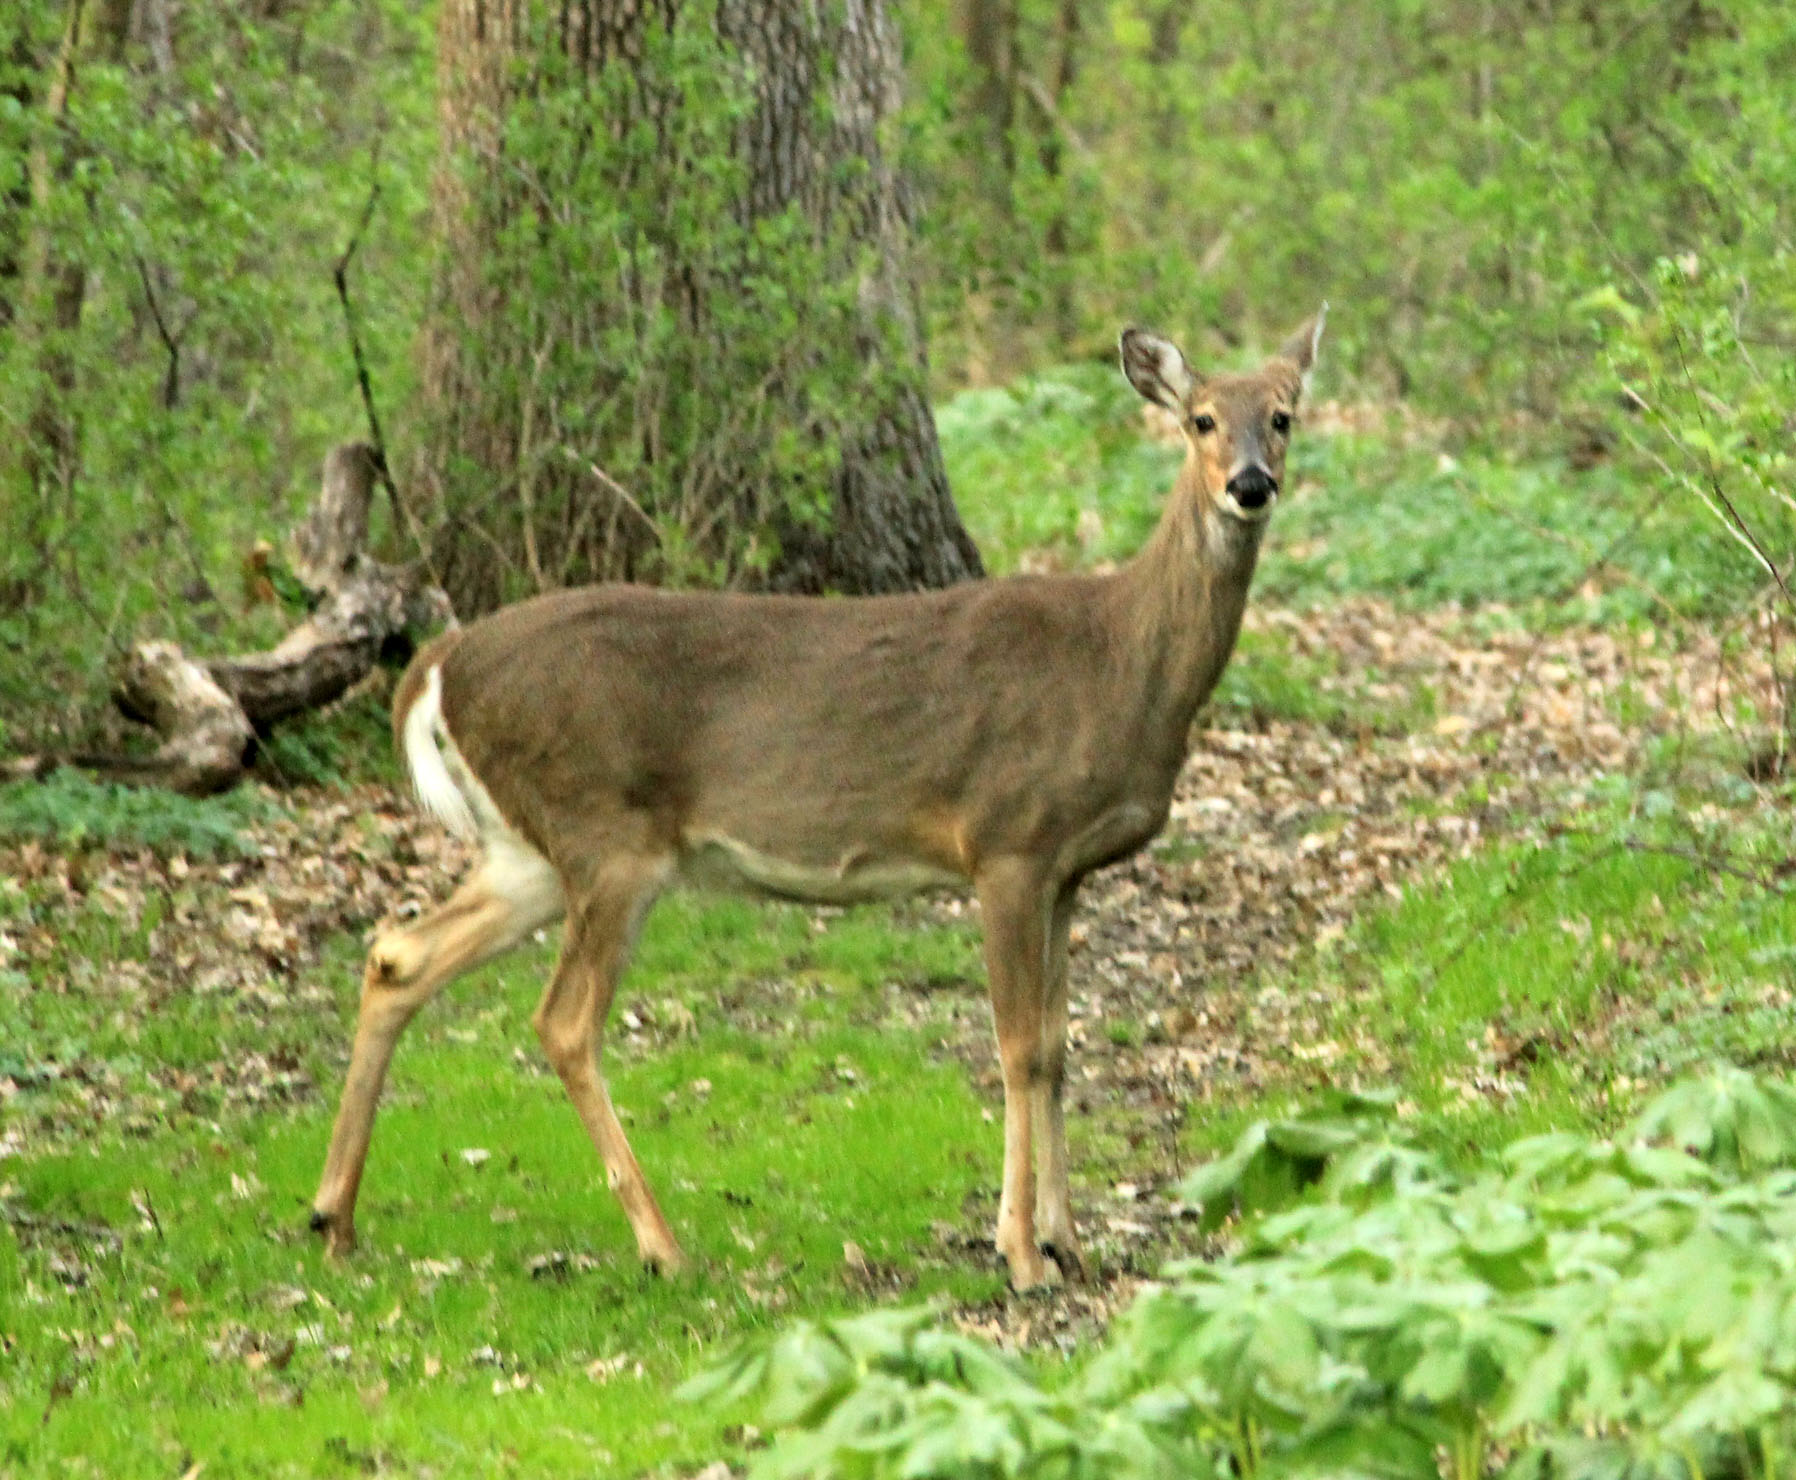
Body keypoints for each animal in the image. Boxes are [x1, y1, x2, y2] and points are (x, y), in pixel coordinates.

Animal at [308, 307, 1321, 1286]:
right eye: (1199, 419)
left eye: (1281, 415)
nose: (1250, 484)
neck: (1119, 663)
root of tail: (443, 662)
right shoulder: (1006, 841)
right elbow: (1017, 1048)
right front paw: (1023, 1256)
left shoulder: (1069, 870)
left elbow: (1061, 1051)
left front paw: (1070, 1241)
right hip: (606, 833)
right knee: (562, 1022)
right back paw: (661, 1246)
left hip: (531, 849)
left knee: (398, 955)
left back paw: (333, 1218)